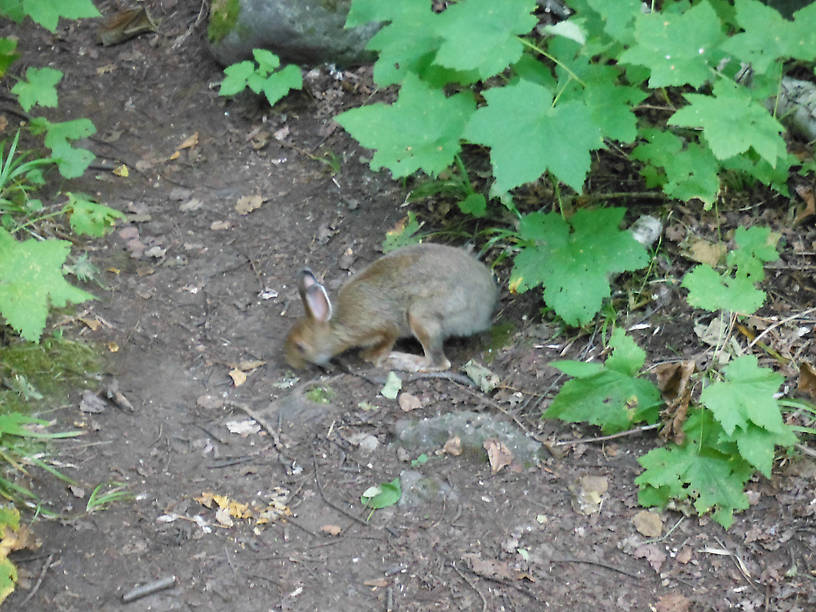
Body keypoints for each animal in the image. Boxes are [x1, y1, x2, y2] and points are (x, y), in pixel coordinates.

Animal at [284, 241, 498, 370]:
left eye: (300, 347)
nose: (291, 363)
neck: (337, 325)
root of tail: (485, 311)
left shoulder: (379, 327)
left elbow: (388, 337)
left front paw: (371, 356)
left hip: (420, 316)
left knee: (438, 362)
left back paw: (400, 360)